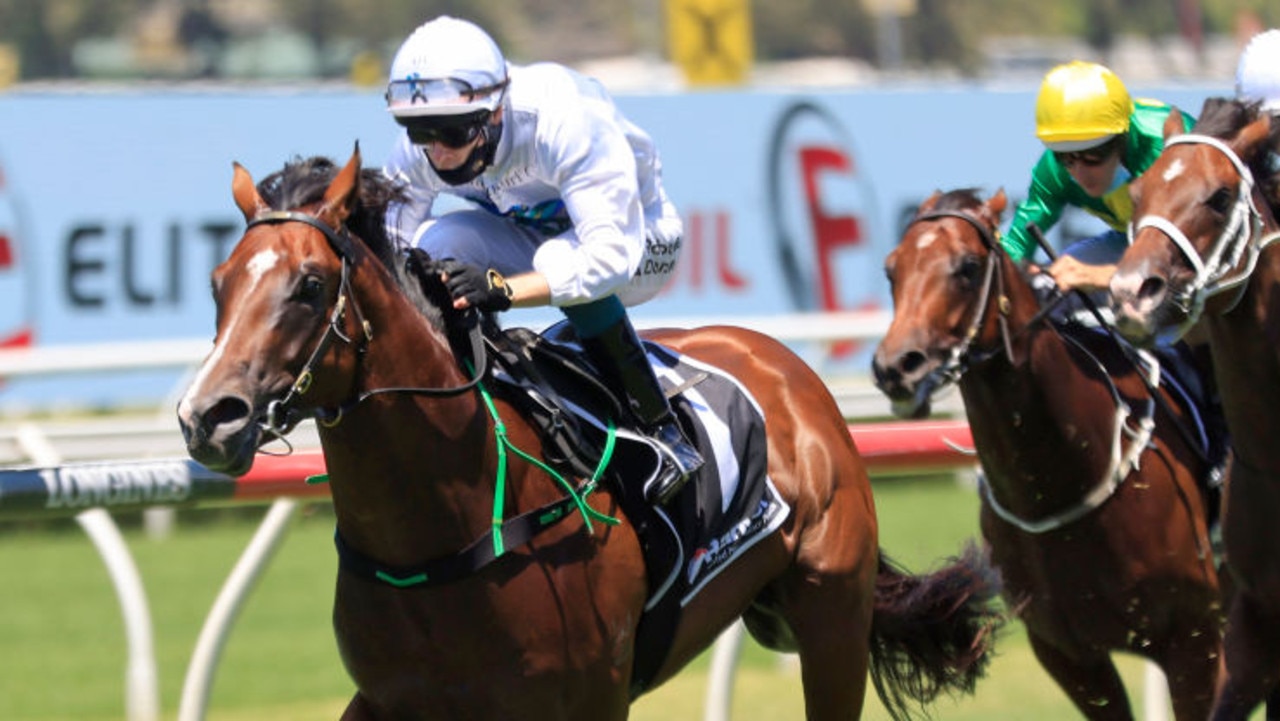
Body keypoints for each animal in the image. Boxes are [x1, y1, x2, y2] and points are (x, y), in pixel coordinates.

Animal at [175, 147, 1003, 721]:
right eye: (218, 281)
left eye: (310, 287)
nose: (209, 415)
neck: (444, 529)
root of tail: (788, 368)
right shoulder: (393, 699)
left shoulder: (588, 695)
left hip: (831, 611)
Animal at [870, 189, 1218, 717]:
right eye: (892, 268)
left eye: (969, 266)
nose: (897, 367)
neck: (1063, 478)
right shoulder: (1067, 655)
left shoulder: (1195, 639)